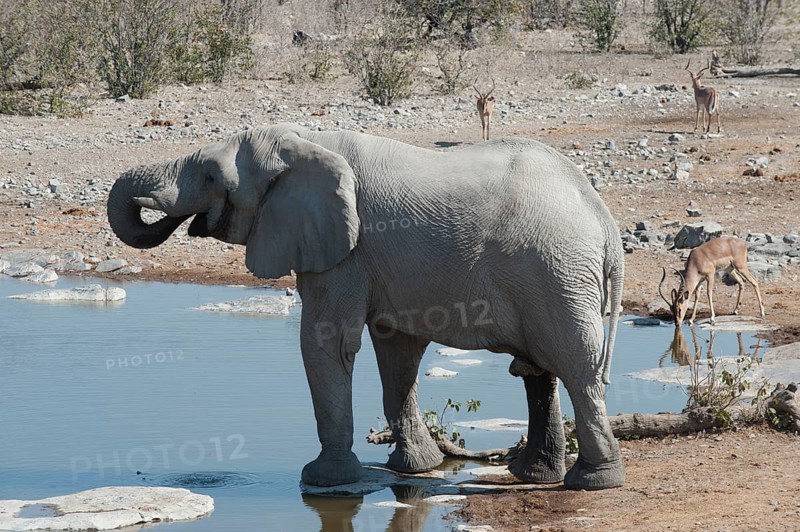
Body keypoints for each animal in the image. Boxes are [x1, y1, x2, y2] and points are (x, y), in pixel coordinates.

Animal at [107, 123, 625, 490]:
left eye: (213, 177)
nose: (174, 218)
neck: (304, 141)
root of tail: (604, 221)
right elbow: (397, 353)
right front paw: (414, 467)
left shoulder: (344, 252)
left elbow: (325, 343)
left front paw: (322, 479)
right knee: (539, 368)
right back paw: (533, 475)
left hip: (556, 271)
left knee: (574, 366)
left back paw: (592, 482)